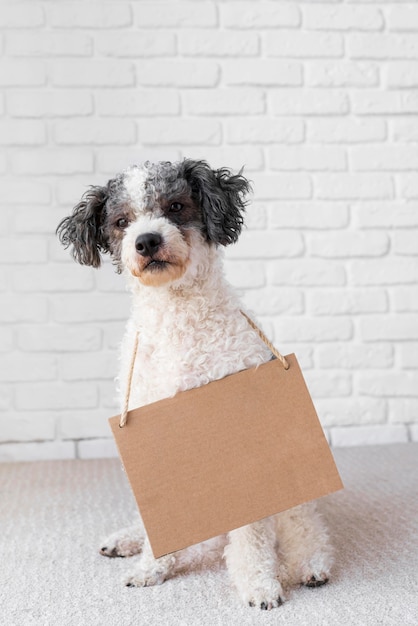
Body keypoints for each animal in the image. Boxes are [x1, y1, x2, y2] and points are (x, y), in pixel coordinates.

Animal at [58, 158, 334, 608]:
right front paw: (151, 568)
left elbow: (253, 532)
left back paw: (311, 564)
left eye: (175, 205)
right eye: (121, 222)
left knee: (304, 525)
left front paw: (259, 583)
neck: (178, 317)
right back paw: (127, 540)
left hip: (296, 499)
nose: (146, 241)